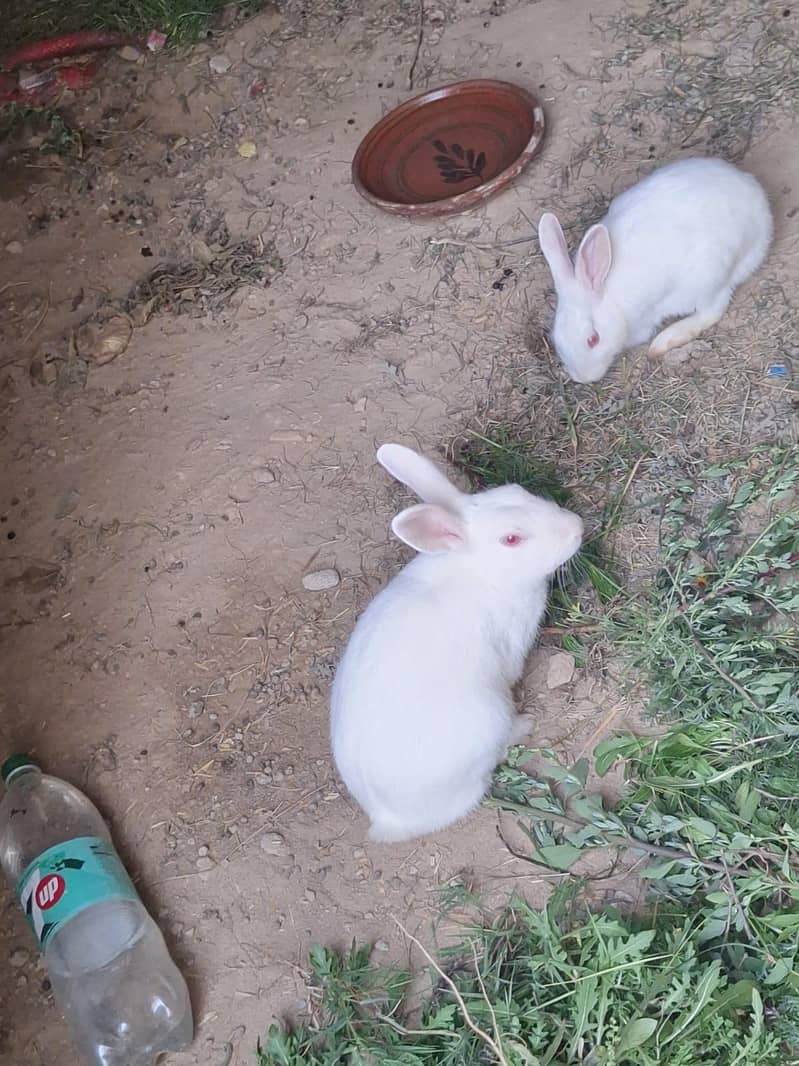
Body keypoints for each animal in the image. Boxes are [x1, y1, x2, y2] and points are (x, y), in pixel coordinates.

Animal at [330, 443, 583, 843]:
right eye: (512, 539)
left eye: (518, 491)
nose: (577, 528)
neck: (480, 570)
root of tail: (389, 820)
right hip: (491, 718)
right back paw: (525, 724)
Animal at [538, 157, 773, 384]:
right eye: (555, 339)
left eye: (593, 340)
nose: (583, 379)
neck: (609, 299)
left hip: (709, 277)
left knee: (713, 310)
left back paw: (664, 341)